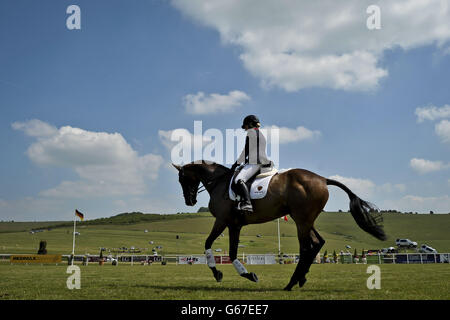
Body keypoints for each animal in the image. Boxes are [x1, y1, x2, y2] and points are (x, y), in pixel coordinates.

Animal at [172, 161, 386, 292]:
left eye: (182, 179)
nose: (189, 201)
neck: (220, 183)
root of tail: (322, 179)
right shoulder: (235, 225)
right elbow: (231, 253)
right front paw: (246, 274)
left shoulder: (223, 221)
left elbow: (209, 244)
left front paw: (220, 273)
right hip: (305, 219)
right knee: (318, 242)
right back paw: (301, 279)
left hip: (301, 220)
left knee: (306, 247)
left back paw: (291, 283)